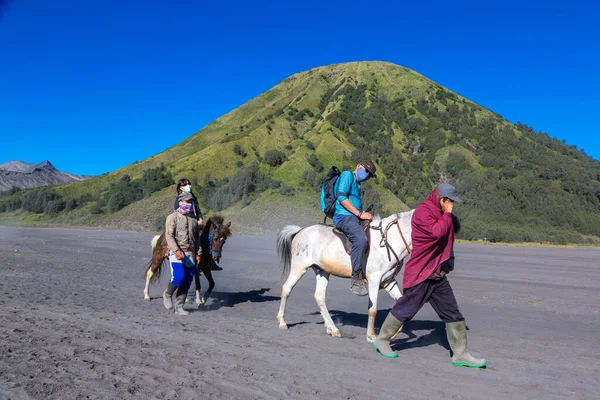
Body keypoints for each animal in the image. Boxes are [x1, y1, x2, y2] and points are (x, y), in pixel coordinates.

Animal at [276, 209, 412, 340]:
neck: (387, 241)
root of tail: (300, 231)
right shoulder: (374, 280)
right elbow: (373, 309)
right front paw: (371, 336)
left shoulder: (388, 281)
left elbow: (401, 304)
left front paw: (392, 335)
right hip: (299, 267)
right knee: (286, 288)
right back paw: (282, 323)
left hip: (322, 271)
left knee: (319, 296)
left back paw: (333, 329)